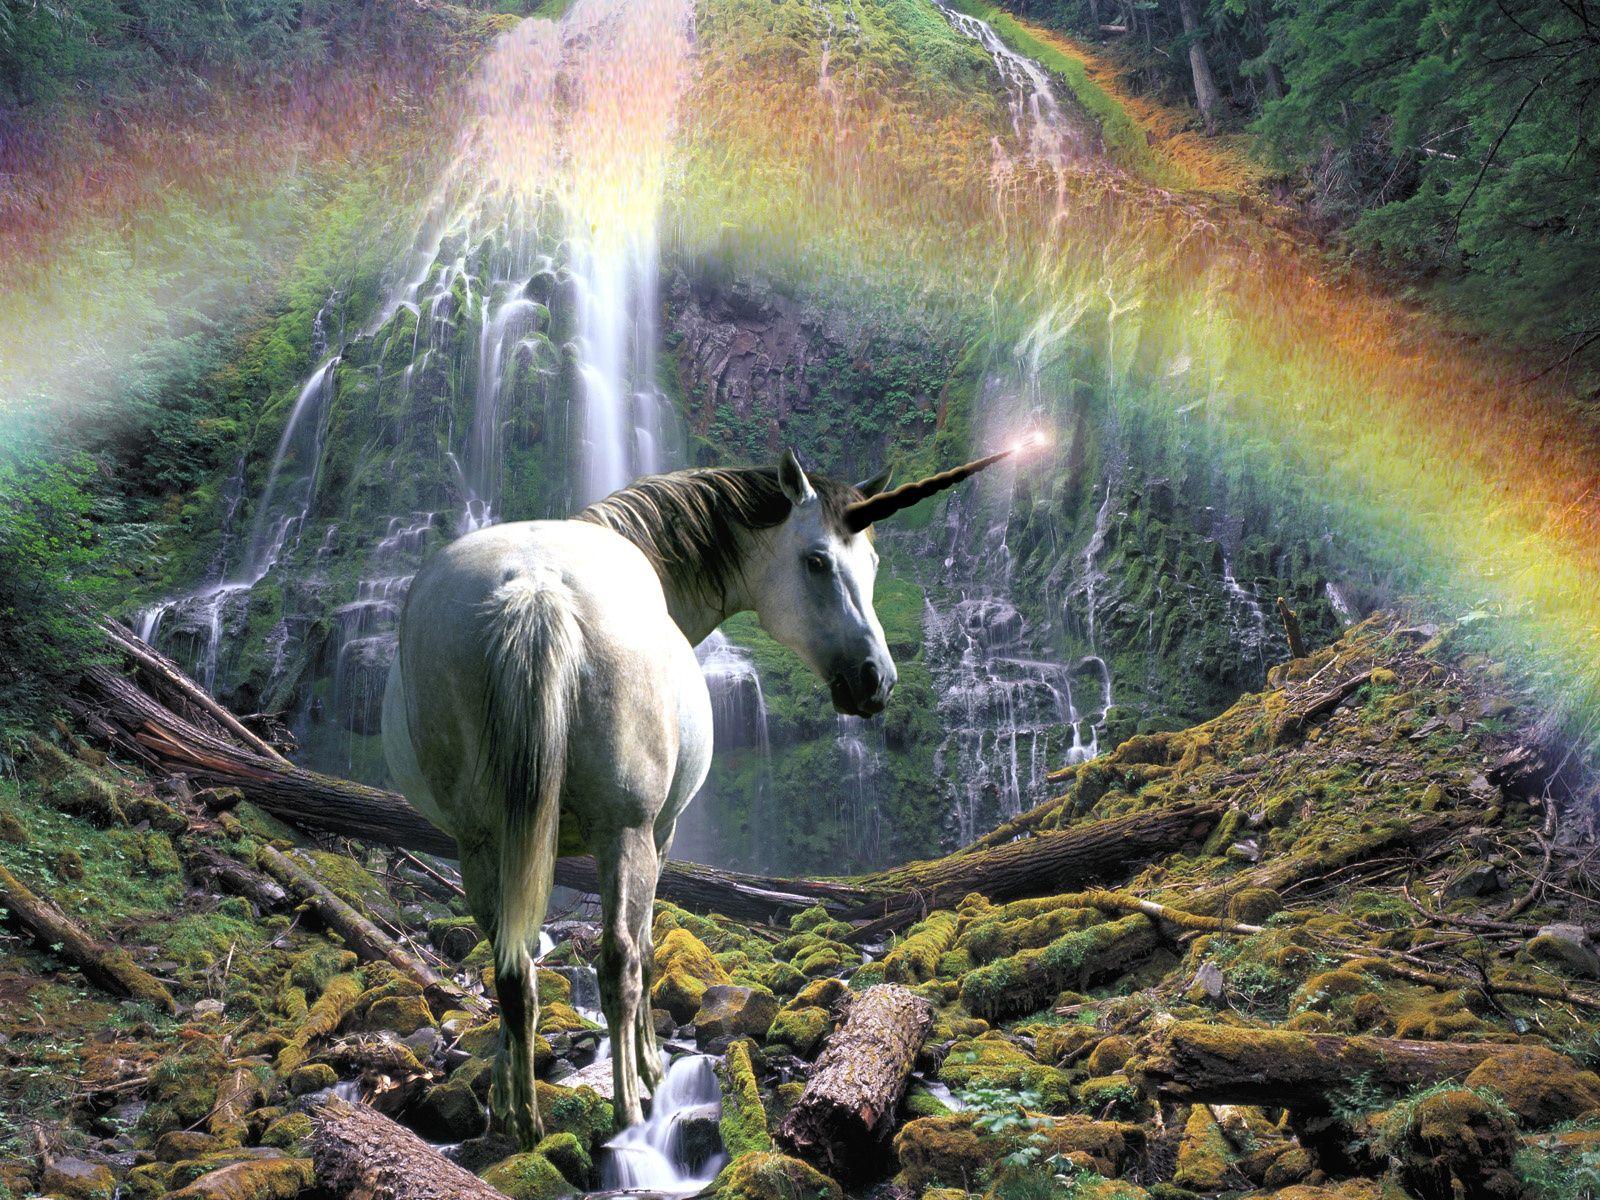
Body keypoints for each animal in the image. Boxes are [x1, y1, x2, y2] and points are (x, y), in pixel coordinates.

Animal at [381, 447, 1016, 1145]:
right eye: (816, 561)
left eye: (872, 564)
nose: (875, 679)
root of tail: (536, 589)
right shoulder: (662, 832)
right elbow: (648, 947)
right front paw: (652, 1065)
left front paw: (503, 1089)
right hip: (623, 831)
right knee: (617, 964)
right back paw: (630, 1114)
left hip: (480, 841)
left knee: (512, 970)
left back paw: (519, 1122)